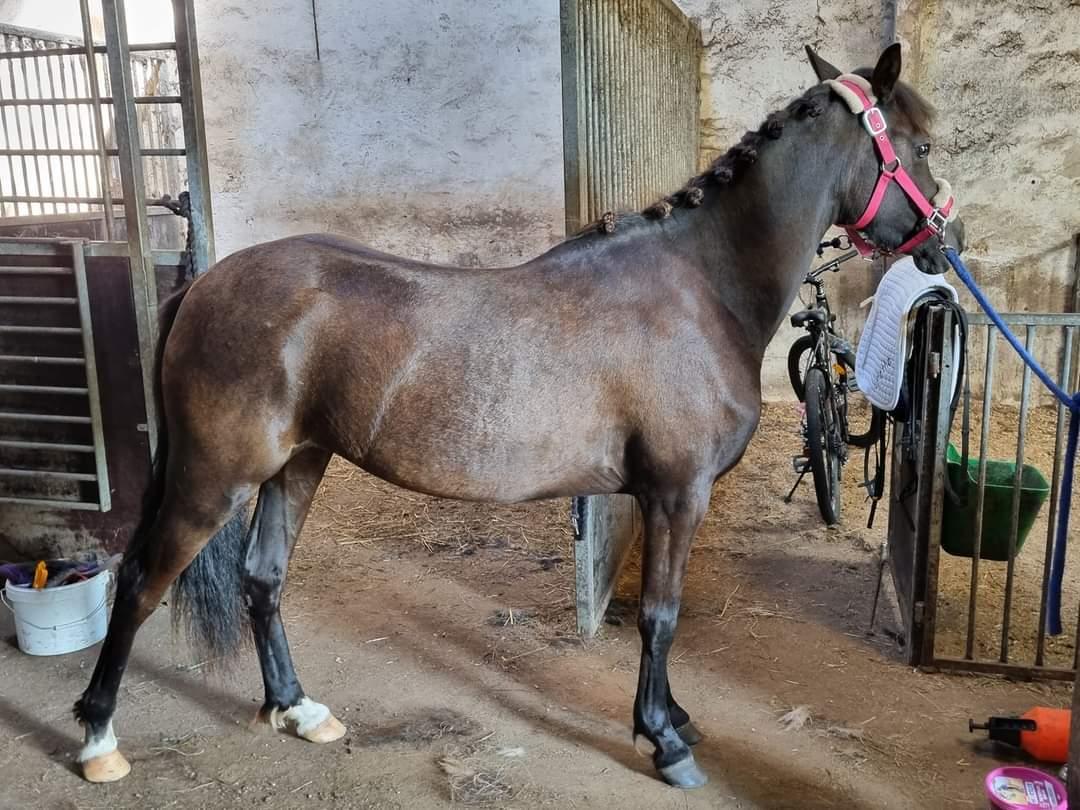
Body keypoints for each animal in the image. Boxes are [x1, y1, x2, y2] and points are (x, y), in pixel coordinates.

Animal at [74, 43, 964, 790]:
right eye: (919, 146)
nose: (940, 242)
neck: (702, 286)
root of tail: (206, 284)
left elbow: (662, 618)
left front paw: (674, 719)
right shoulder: (677, 494)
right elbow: (661, 616)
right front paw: (663, 739)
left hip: (297, 464)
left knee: (262, 579)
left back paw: (298, 709)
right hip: (215, 475)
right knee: (140, 581)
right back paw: (98, 740)